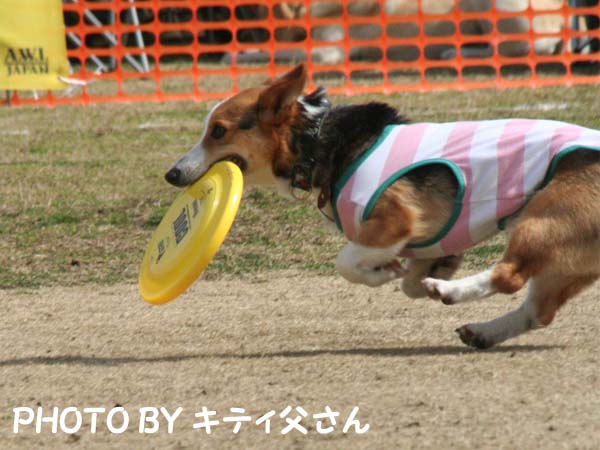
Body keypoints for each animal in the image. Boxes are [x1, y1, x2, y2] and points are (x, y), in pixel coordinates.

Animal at [165, 64, 600, 349]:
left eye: (218, 131)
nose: (172, 173)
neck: (316, 141)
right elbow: (409, 281)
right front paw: (421, 271)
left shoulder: (395, 221)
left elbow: (346, 262)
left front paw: (386, 272)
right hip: (565, 259)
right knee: (537, 313)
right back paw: (481, 330)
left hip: (542, 219)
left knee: (509, 276)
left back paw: (449, 291)